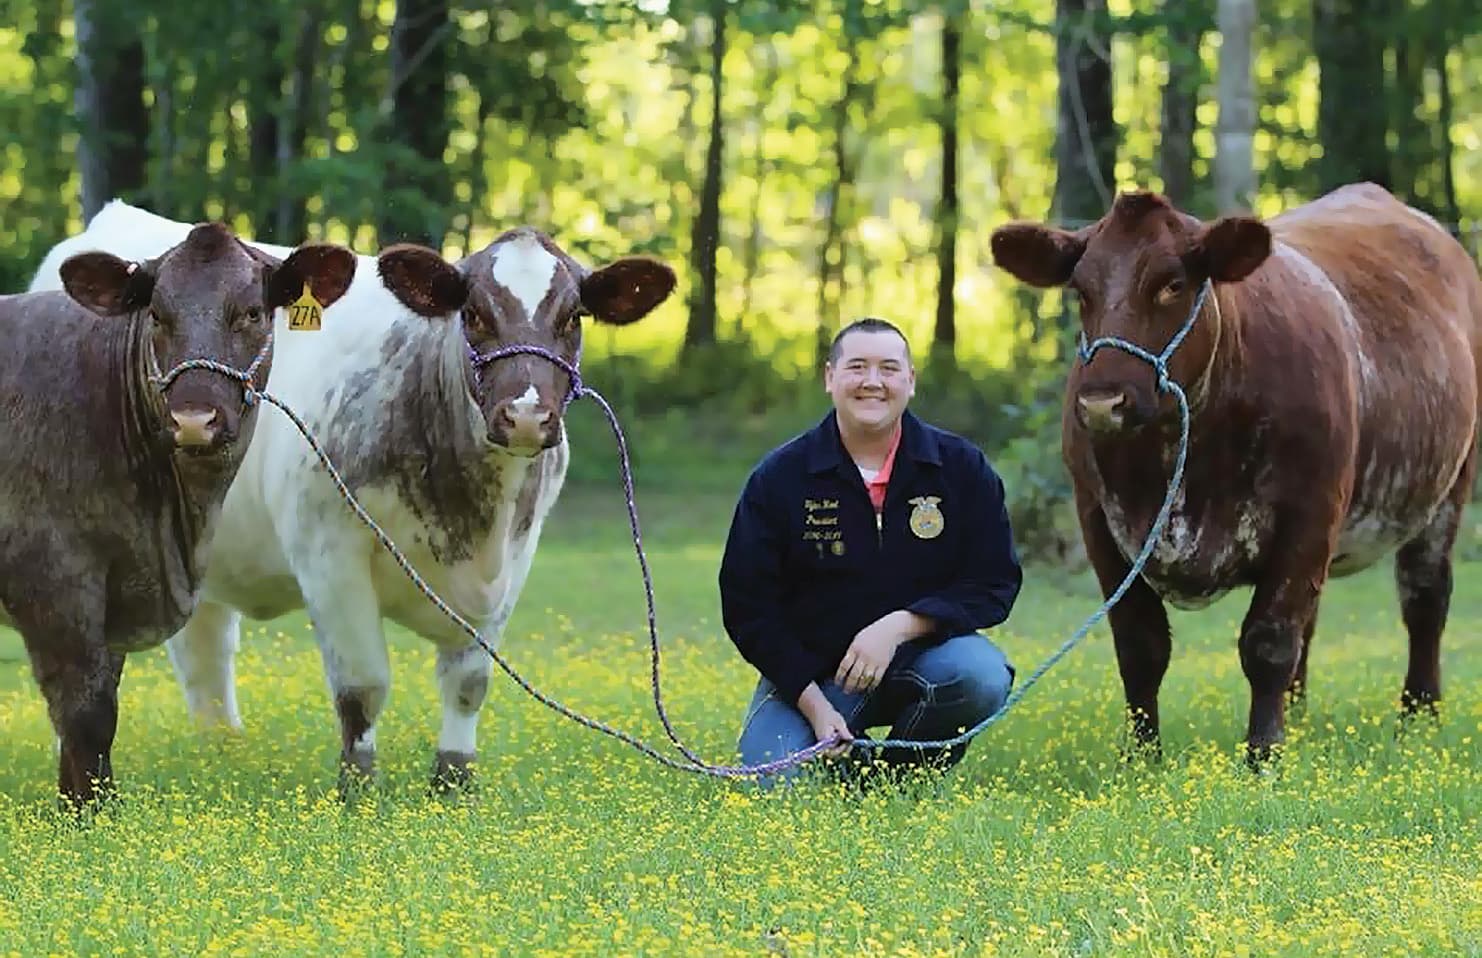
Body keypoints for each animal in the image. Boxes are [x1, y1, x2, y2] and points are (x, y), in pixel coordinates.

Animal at [984, 183, 1482, 759]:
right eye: (1081, 291)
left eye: (1172, 284)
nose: (1103, 403)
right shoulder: (1098, 519)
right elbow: (1139, 644)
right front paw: (1142, 758)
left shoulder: (1309, 512)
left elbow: (1269, 641)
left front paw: (1263, 755)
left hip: (1449, 487)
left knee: (1424, 598)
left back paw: (1418, 718)